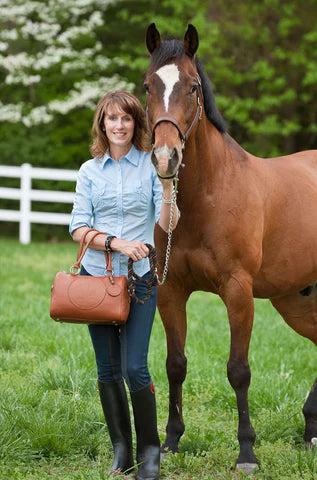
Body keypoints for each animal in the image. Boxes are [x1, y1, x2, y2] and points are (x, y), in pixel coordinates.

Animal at [144, 22, 316, 472]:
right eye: (148, 85)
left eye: (192, 87)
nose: (165, 157)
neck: (210, 193)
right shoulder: (171, 291)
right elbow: (175, 365)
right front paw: (170, 442)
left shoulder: (239, 292)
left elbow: (238, 370)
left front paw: (247, 452)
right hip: (296, 299)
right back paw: (311, 429)